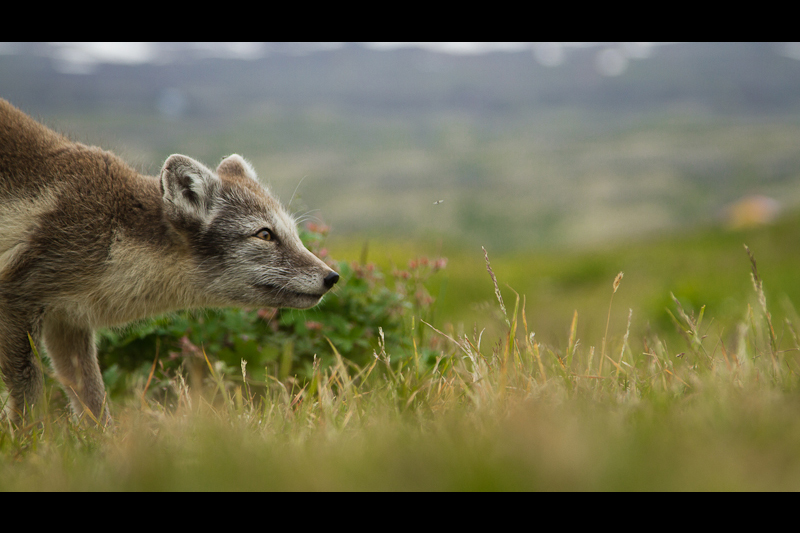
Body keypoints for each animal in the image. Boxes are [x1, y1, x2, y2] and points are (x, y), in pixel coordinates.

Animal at [0, 98, 338, 424]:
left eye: (293, 232)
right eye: (265, 234)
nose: (332, 277)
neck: (113, 231)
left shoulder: (68, 321)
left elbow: (93, 402)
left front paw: (102, 442)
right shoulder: (17, 299)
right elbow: (29, 400)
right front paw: (30, 440)